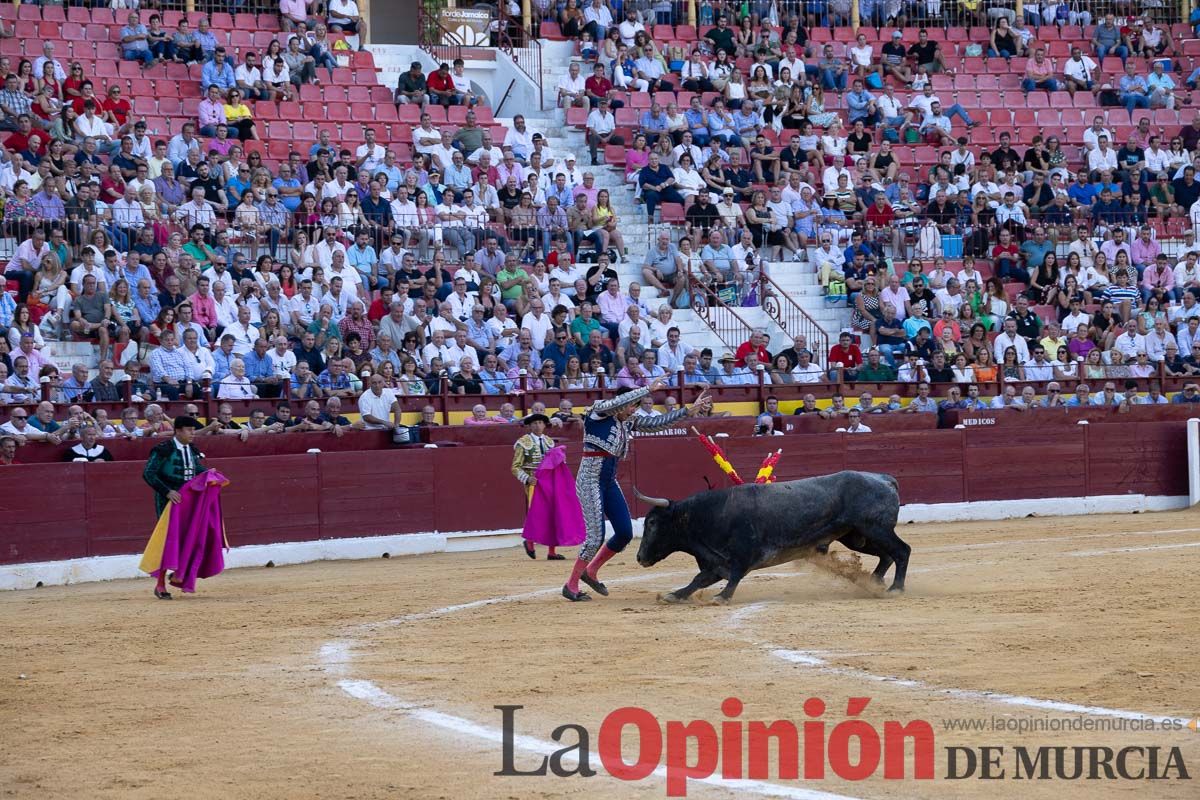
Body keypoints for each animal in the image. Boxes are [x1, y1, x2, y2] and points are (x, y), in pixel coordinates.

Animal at [638, 472, 907, 604]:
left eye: (652, 523)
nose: (639, 557)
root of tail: (885, 479)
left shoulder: (743, 555)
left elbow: (733, 576)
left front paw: (722, 597)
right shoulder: (716, 561)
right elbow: (698, 580)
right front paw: (675, 595)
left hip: (874, 529)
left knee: (902, 551)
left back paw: (895, 589)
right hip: (857, 536)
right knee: (886, 555)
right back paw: (875, 583)